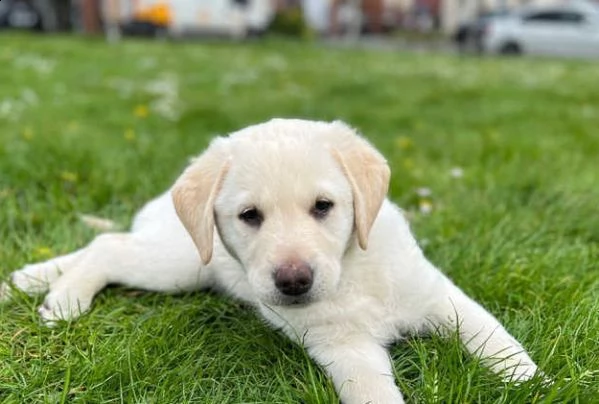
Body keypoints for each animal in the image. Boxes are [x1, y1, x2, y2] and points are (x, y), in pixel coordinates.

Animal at [2, 118, 540, 402]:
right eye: (249, 216)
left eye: (323, 207)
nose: (293, 281)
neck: (351, 273)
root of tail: (159, 203)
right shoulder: (345, 349)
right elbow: (374, 392)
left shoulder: (440, 298)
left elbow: (497, 341)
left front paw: (535, 382)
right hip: (182, 264)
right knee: (110, 247)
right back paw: (64, 297)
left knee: (106, 240)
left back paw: (29, 281)